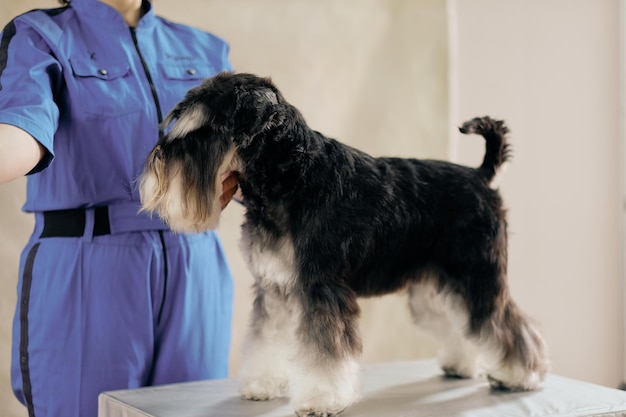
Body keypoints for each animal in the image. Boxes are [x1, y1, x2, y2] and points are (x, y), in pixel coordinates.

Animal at [138, 71, 544, 416]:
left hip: (478, 277)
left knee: (504, 324)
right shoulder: (273, 287)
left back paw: (520, 375)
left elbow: (325, 352)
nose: (156, 158)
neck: (290, 175)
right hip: (436, 287)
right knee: (461, 323)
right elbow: (267, 339)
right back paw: (462, 365)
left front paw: (321, 399)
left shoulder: (321, 287)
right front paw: (261, 384)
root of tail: (480, 176)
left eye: (207, 128)